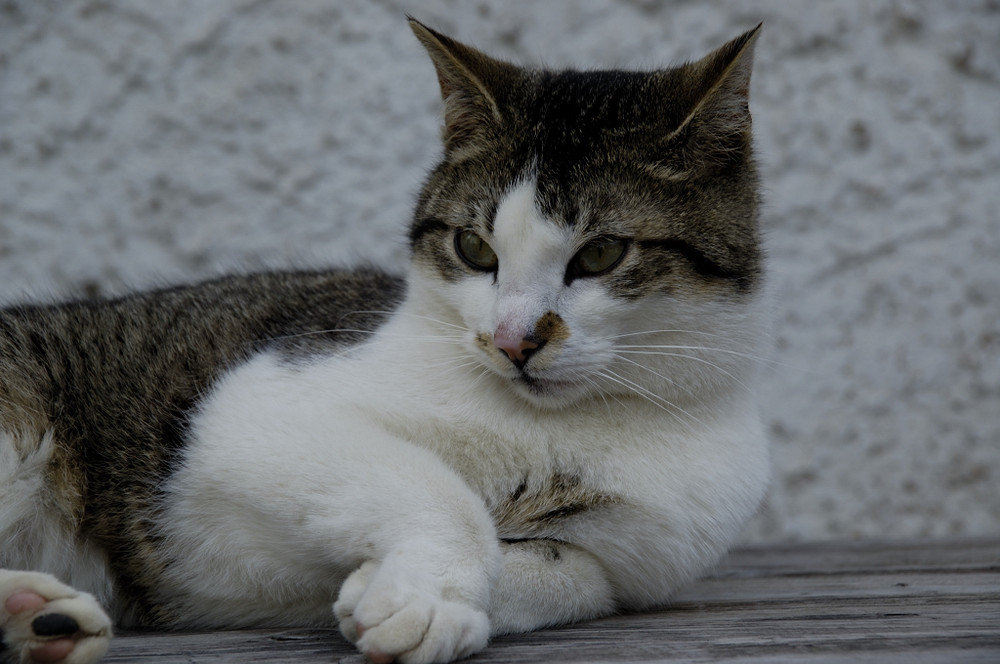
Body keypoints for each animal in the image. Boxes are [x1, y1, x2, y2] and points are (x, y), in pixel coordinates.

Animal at [0, 19, 764, 664]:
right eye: (473, 248)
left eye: (602, 253)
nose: (512, 341)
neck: (559, 427)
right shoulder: (255, 413)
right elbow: (440, 492)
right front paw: (425, 597)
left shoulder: (634, 560)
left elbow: (569, 571)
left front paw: (390, 587)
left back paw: (38, 619)